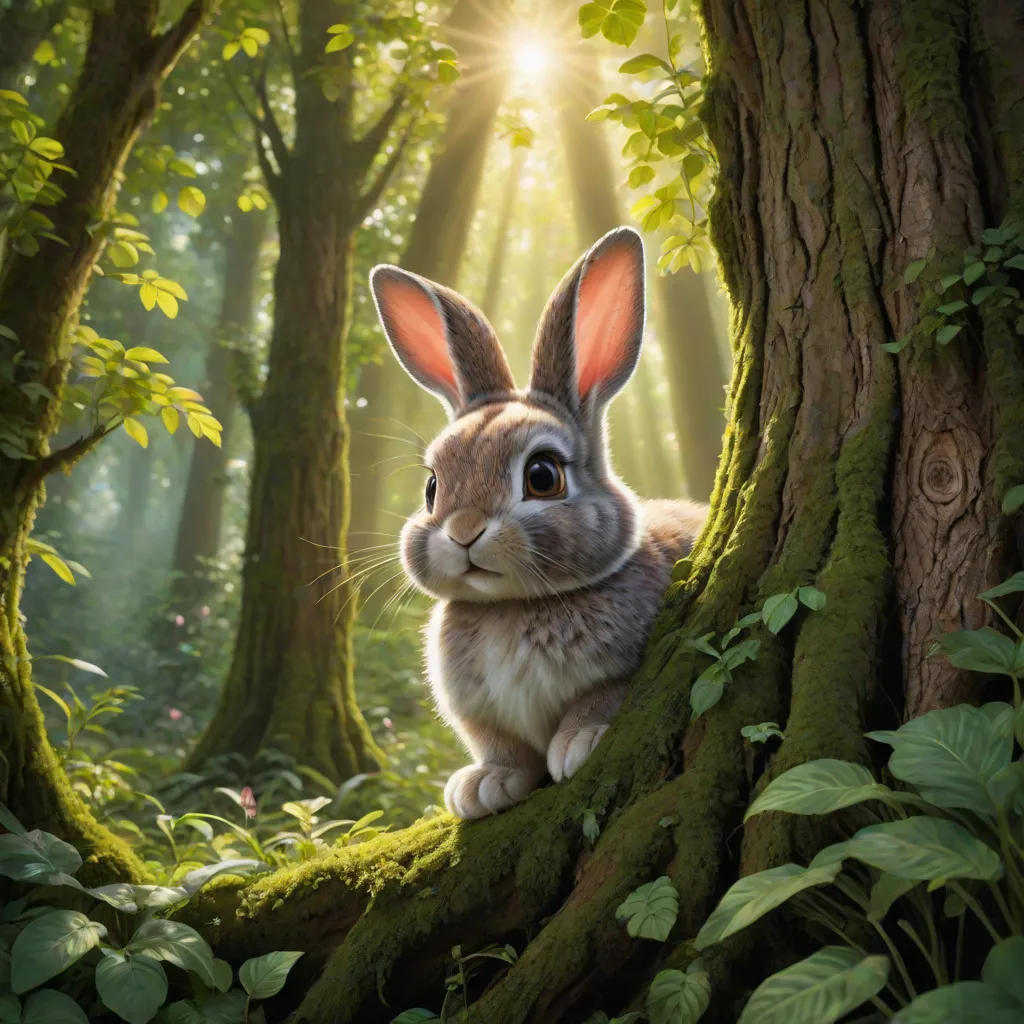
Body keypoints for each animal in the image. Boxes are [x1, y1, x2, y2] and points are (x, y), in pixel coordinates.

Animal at [369, 226, 707, 820]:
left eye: (543, 476)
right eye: (432, 487)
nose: (463, 532)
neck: (513, 606)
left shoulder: (625, 670)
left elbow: (597, 701)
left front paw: (577, 746)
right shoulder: (481, 718)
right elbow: (500, 748)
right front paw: (480, 787)